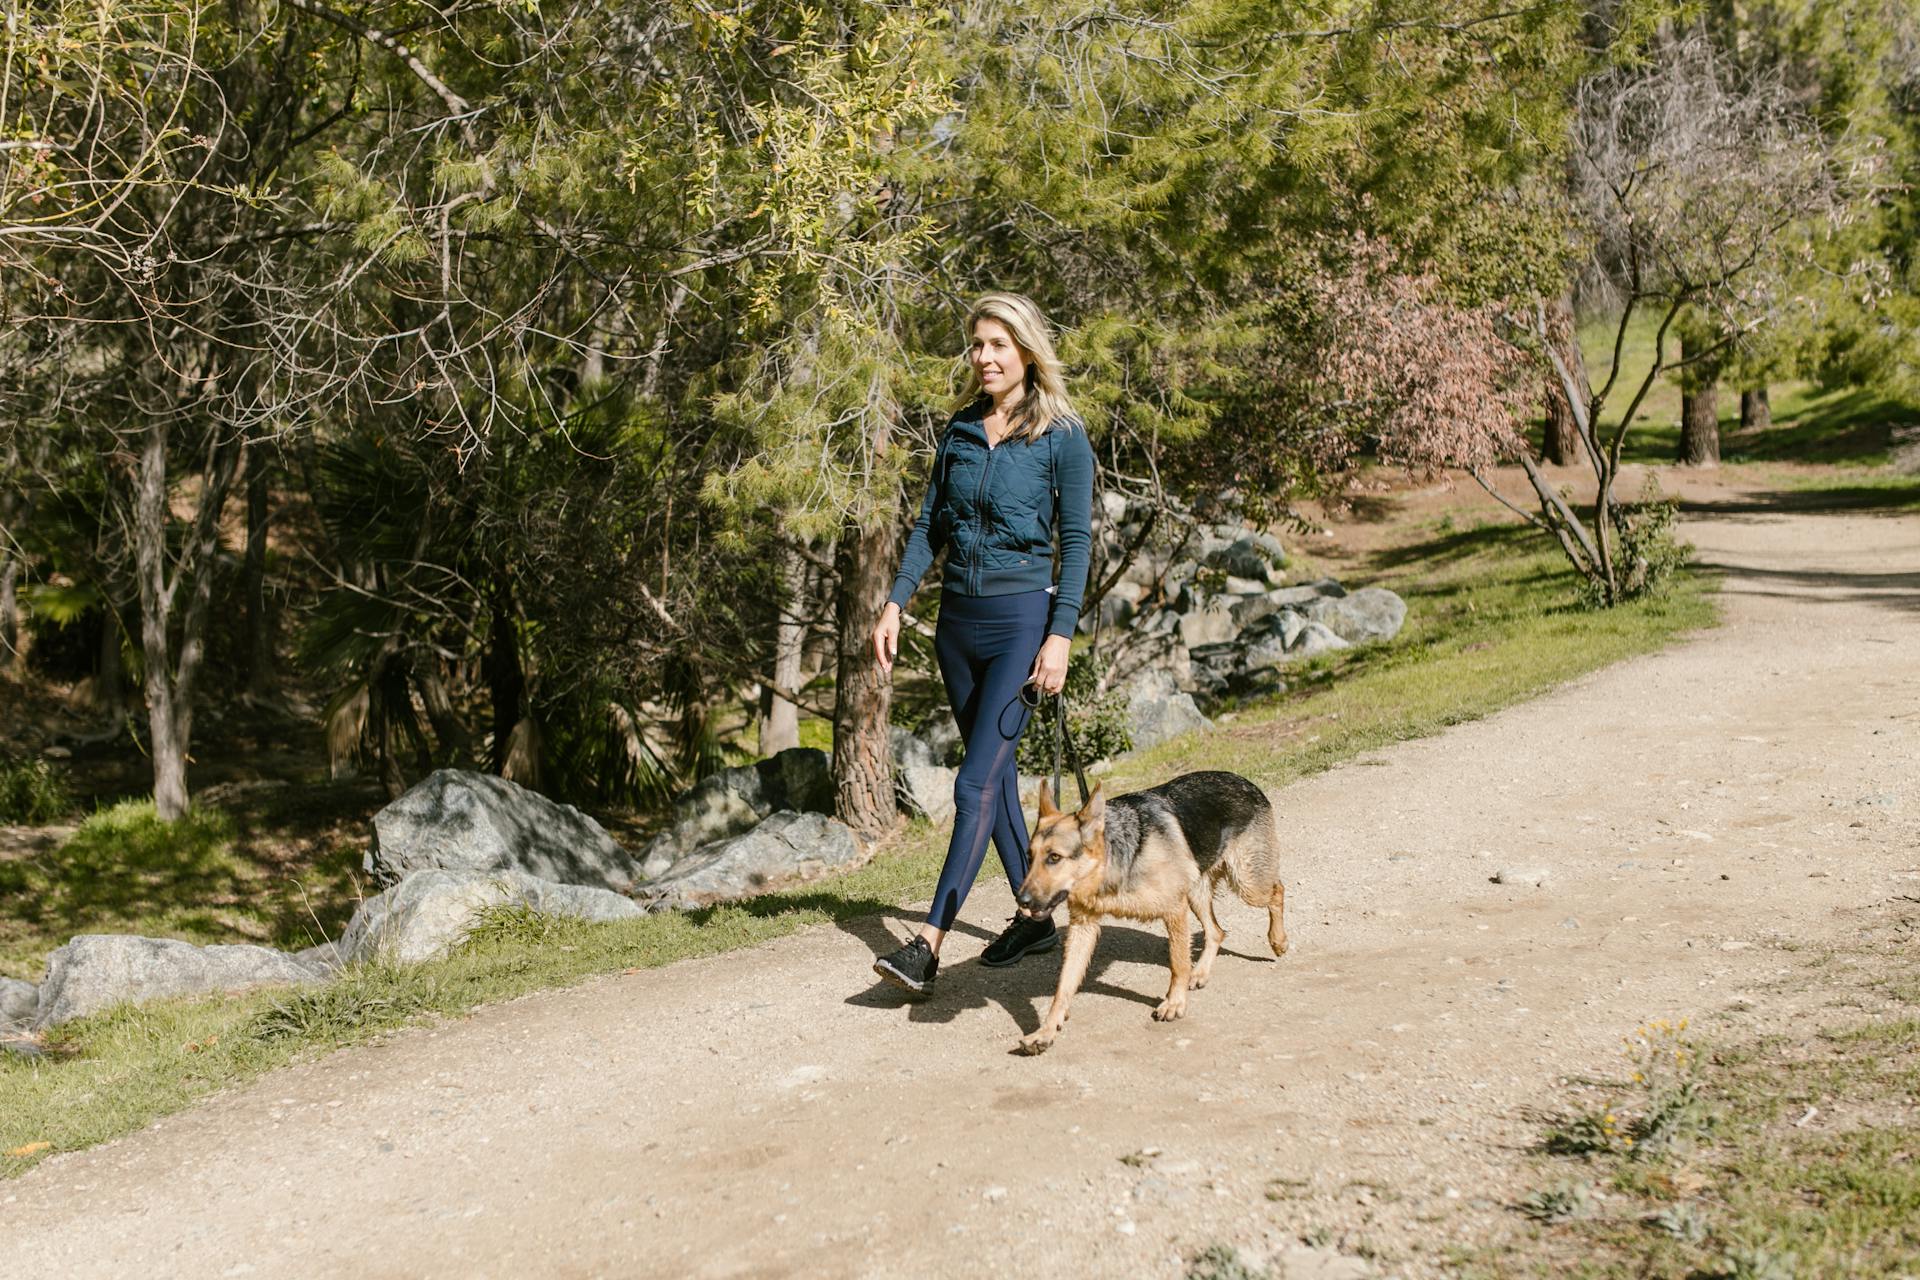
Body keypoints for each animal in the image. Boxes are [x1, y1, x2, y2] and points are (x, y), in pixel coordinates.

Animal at [1006, 767, 1290, 1059]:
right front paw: (1045, 1032)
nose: (1021, 900)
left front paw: (1174, 1003)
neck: (1113, 863)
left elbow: (1178, 963)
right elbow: (1063, 986)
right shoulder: (1083, 928)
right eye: (1030, 857)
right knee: (1217, 931)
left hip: (1247, 883)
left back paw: (1278, 941)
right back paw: (1200, 973)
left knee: (1277, 890)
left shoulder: (1174, 910)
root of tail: (1241, 779)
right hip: (1197, 891)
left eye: (1054, 857)